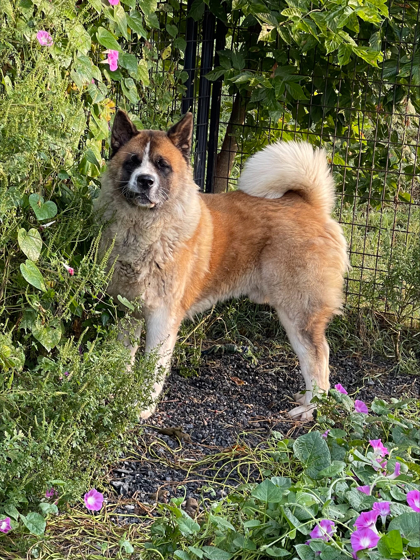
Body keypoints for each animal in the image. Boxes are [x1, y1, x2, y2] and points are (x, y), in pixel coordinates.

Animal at [97, 110, 348, 420]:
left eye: (162, 165)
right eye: (132, 161)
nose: (145, 180)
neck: (146, 229)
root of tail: (309, 205)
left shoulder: (163, 317)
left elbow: (151, 370)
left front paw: (140, 407)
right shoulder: (126, 310)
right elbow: (123, 358)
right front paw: (114, 391)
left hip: (298, 311)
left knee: (318, 357)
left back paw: (311, 407)